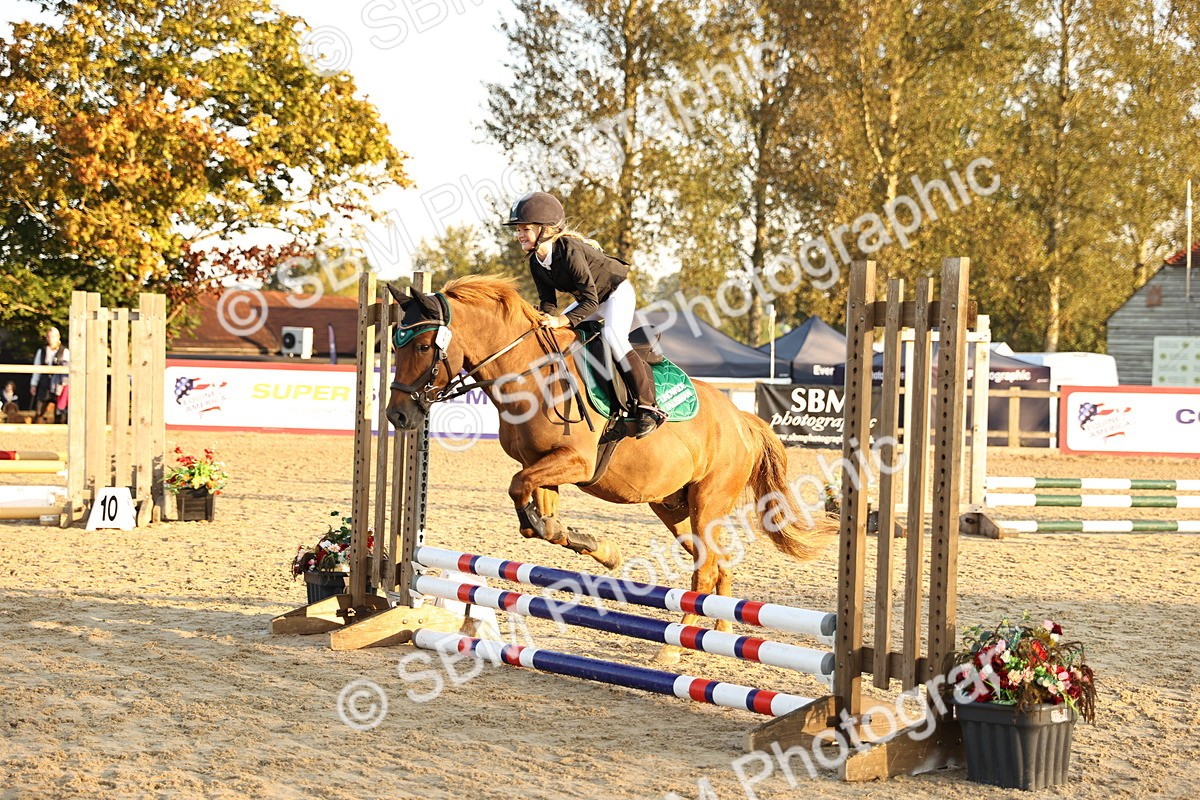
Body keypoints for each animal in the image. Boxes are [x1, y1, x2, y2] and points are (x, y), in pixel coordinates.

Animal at [385, 275, 835, 659]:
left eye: (422, 347)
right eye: (394, 345)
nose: (398, 416)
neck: (528, 374)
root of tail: (741, 418)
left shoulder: (575, 462)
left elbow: (518, 489)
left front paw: (592, 545)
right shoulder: (540, 465)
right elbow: (539, 521)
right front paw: (600, 549)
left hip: (708, 500)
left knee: (705, 569)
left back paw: (676, 646)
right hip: (674, 508)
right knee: (713, 560)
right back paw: (718, 630)